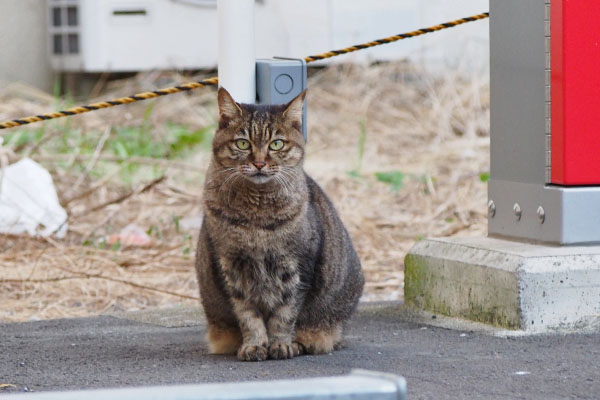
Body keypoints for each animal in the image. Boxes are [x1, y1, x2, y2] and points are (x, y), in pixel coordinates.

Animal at [197, 87, 364, 362]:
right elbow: (248, 316)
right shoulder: (231, 270)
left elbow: (284, 315)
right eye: (243, 143)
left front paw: (281, 344)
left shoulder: (297, 269)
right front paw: (254, 345)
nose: (259, 163)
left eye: (276, 144)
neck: (256, 219)